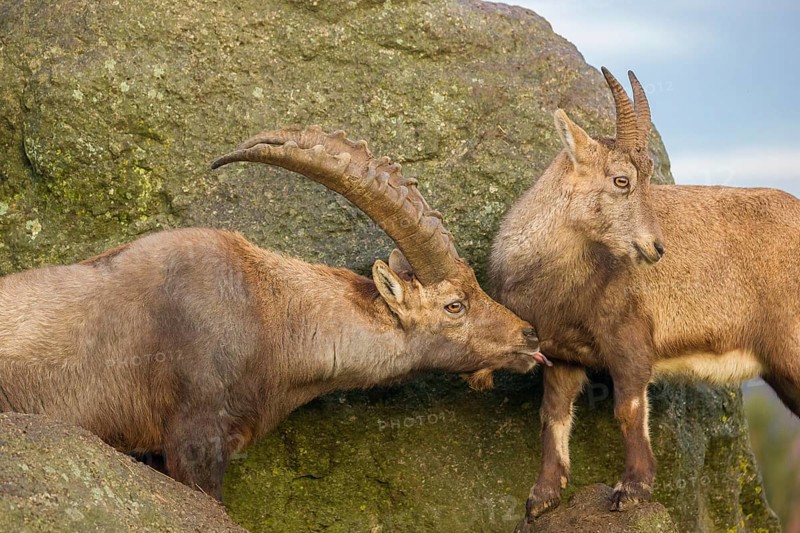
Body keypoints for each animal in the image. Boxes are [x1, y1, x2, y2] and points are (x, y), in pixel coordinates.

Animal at [490, 68, 800, 520]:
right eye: (622, 179)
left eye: (650, 179)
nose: (656, 247)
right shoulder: (561, 355)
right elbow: (554, 416)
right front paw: (542, 497)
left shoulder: (629, 338)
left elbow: (629, 408)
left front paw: (632, 489)